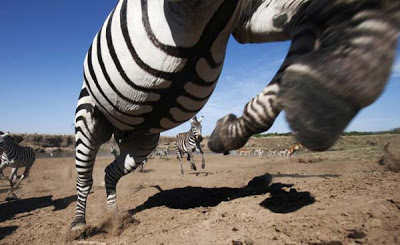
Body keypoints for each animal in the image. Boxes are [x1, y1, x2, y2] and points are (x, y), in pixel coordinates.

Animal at [70, 0, 398, 232]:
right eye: (193, 124)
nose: (202, 134)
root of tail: (119, 130)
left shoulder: (250, 15)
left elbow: (316, 12)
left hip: (141, 143)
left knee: (110, 172)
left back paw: (116, 217)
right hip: (89, 119)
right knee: (85, 177)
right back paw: (79, 224)